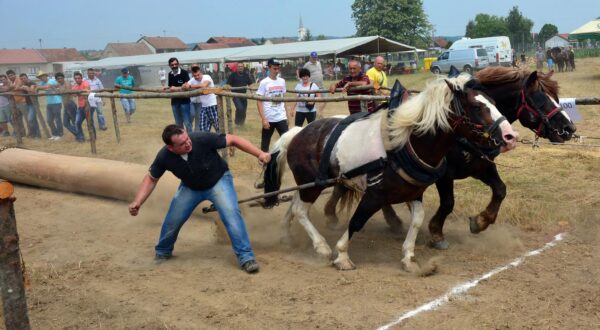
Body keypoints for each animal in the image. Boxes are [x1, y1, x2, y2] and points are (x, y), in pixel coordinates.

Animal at [264, 76, 516, 272]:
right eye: (477, 107)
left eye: (494, 102)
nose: (510, 136)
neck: (404, 145)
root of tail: (297, 133)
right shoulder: (374, 195)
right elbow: (357, 221)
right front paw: (342, 255)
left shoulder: (414, 192)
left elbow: (417, 220)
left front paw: (409, 258)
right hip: (313, 184)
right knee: (300, 209)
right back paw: (322, 247)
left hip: (309, 184)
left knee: (295, 204)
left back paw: (286, 236)